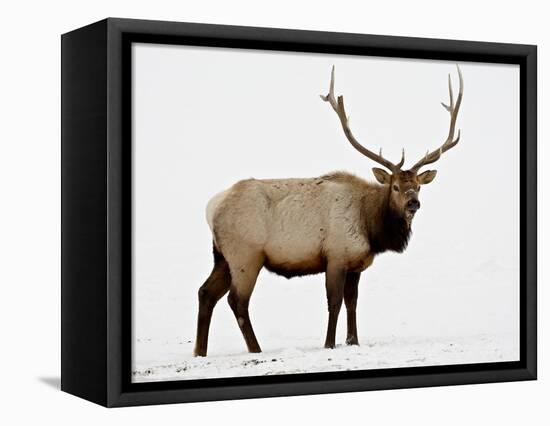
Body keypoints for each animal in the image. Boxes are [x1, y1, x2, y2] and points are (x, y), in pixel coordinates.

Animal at [195, 63, 466, 356]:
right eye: (395, 186)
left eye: (417, 186)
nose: (413, 203)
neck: (371, 227)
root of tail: (212, 207)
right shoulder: (336, 256)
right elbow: (334, 302)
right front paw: (329, 344)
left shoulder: (356, 264)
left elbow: (352, 302)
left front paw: (353, 340)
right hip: (246, 255)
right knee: (237, 300)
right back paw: (255, 349)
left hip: (222, 256)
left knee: (205, 293)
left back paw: (200, 351)